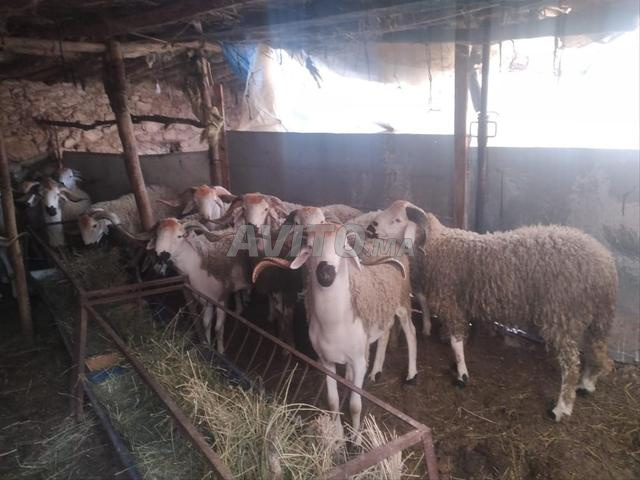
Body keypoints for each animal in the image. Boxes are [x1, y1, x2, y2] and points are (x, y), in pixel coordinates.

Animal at [252, 222, 417, 437]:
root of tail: (389, 242)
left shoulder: (358, 361)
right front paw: (338, 435)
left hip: (403, 301)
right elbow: (332, 402)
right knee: (385, 332)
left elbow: (355, 405)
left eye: (345, 245)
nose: (325, 273)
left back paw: (411, 376)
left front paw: (355, 438)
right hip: (382, 310)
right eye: (310, 245)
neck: (335, 325)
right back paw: (376, 371)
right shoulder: (326, 362)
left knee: (411, 332)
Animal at [367, 200, 618, 422]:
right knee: (598, 352)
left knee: (571, 364)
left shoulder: (451, 303)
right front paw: (456, 365)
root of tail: (603, 263)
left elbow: (456, 341)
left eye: (398, 219)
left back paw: (561, 407)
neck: (437, 246)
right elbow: (460, 338)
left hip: (562, 314)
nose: (371, 227)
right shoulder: (461, 304)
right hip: (600, 317)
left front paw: (462, 376)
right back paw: (587, 385)